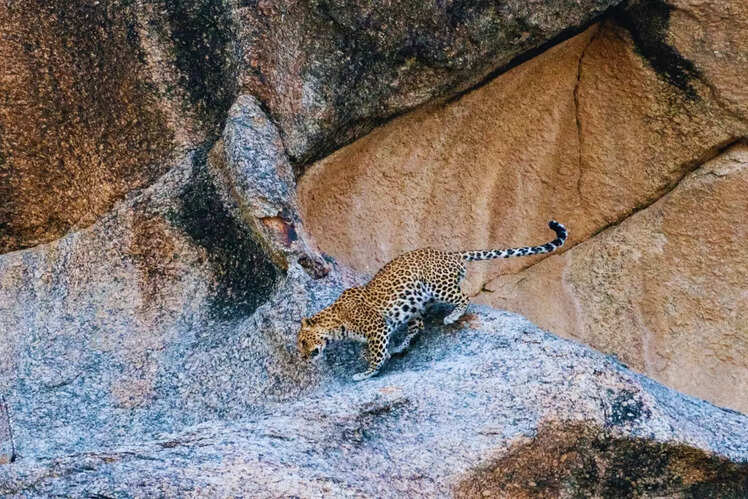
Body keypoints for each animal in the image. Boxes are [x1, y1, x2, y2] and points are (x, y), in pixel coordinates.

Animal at [298, 220, 568, 381]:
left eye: (302, 342)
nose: (303, 358)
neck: (336, 323)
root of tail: (449, 253)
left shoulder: (377, 327)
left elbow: (377, 354)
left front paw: (366, 373)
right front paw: (377, 356)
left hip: (438, 287)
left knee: (463, 297)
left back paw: (452, 316)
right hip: (414, 304)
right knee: (418, 326)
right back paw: (401, 345)